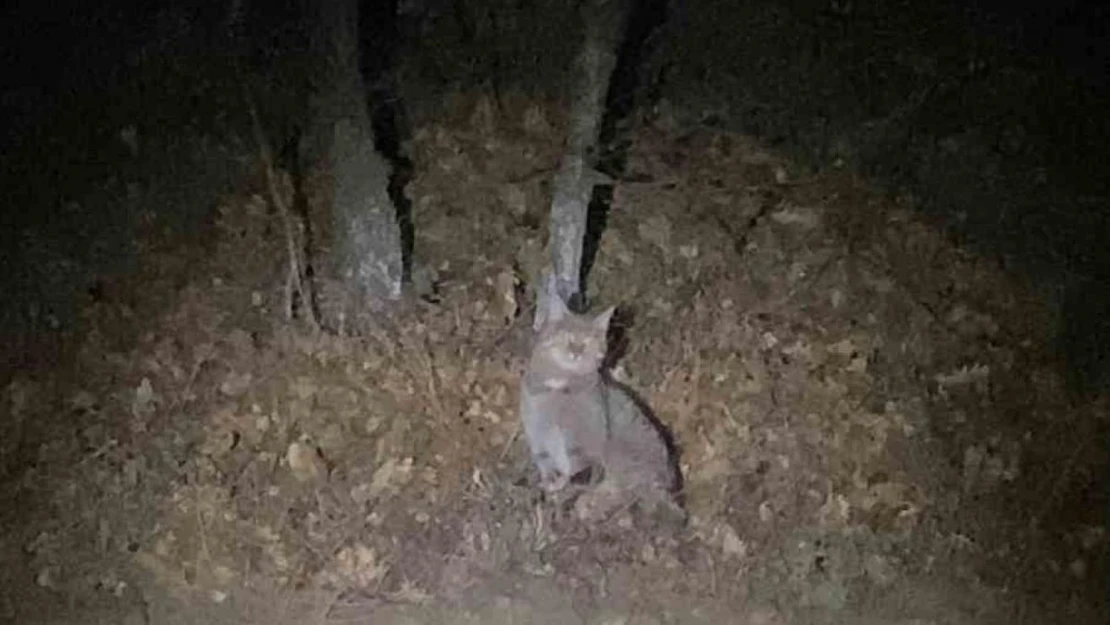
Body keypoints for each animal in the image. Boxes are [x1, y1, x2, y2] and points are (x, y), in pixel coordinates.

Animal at [517, 295, 679, 521]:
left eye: (589, 341)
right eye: (568, 335)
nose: (576, 351)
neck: (559, 386)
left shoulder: (582, 443)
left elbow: (578, 471)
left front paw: (564, 492)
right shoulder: (538, 434)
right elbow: (548, 465)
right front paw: (552, 486)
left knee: (623, 493)